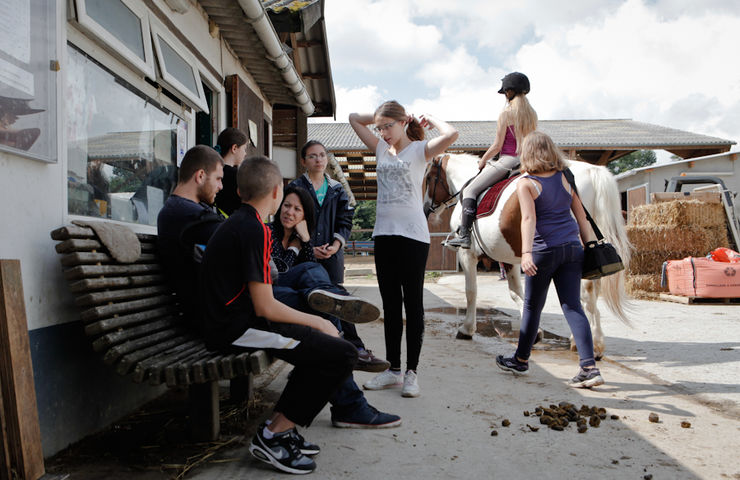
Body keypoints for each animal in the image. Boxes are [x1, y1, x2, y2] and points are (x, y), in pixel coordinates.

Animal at [422, 153, 632, 356]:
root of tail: (591, 171)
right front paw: (534, 332)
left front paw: (466, 329)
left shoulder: (468, 254)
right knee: (590, 292)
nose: (426, 209)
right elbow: (516, 292)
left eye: (430, 178)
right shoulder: (508, 256)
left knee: (585, 293)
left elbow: (471, 291)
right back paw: (589, 341)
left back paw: (592, 344)